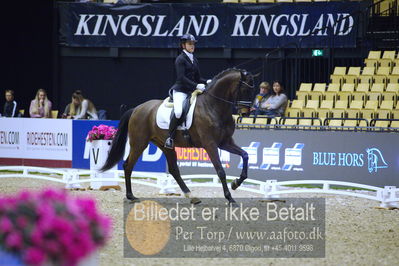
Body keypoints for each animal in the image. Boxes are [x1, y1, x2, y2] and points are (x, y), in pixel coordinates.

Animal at [101, 68, 255, 206]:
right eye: (244, 90)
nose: (245, 114)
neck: (213, 106)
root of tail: (137, 108)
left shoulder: (225, 142)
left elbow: (245, 155)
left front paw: (236, 183)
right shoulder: (210, 144)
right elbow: (221, 171)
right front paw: (230, 198)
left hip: (165, 145)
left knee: (174, 169)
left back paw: (191, 196)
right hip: (139, 143)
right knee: (128, 165)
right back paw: (131, 196)